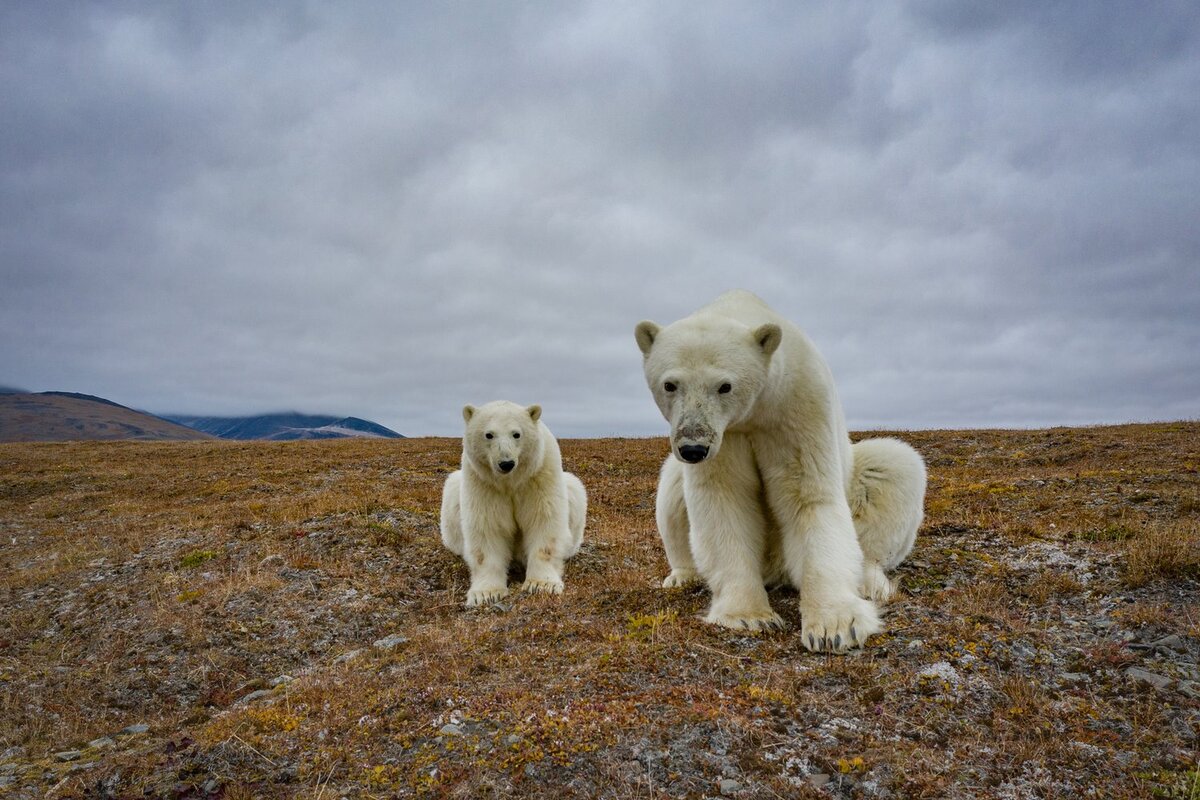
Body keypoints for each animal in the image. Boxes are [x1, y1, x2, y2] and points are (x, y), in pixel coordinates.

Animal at [444, 402, 588, 609]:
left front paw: (542, 584)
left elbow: (543, 521)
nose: (506, 463)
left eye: (516, 434)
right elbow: (488, 528)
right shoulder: (482, 482)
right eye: (489, 434)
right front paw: (485, 593)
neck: (510, 482)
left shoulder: (539, 474)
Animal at [638, 291, 926, 652]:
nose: (693, 448)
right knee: (673, 489)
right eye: (670, 384)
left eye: (725, 386)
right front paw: (749, 615)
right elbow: (725, 502)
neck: (755, 413)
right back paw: (681, 575)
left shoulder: (798, 407)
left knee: (893, 467)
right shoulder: (728, 438)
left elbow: (808, 498)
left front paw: (835, 626)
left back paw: (871, 582)